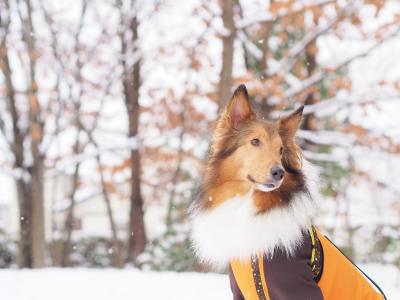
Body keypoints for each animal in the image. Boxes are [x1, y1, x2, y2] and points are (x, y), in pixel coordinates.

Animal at [190, 84, 384, 300]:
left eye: (281, 150)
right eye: (255, 141)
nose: (279, 173)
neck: (250, 205)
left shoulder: (295, 285)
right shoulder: (240, 290)